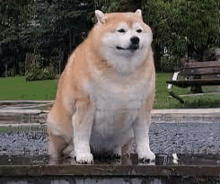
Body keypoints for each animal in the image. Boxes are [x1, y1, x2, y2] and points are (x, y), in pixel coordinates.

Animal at [47, 9, 156, 164]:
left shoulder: (143, 107)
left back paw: (115, 152)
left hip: (127, 134)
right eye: (121, 30)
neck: (122, 72)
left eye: (139, 31)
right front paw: (83, 154)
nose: (135, 39)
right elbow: (82, 135)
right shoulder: (85, 105)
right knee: (66, 148)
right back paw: (74, 153)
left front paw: (145, 153)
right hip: (57, 126)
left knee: (120, 145)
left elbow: (143, 135)